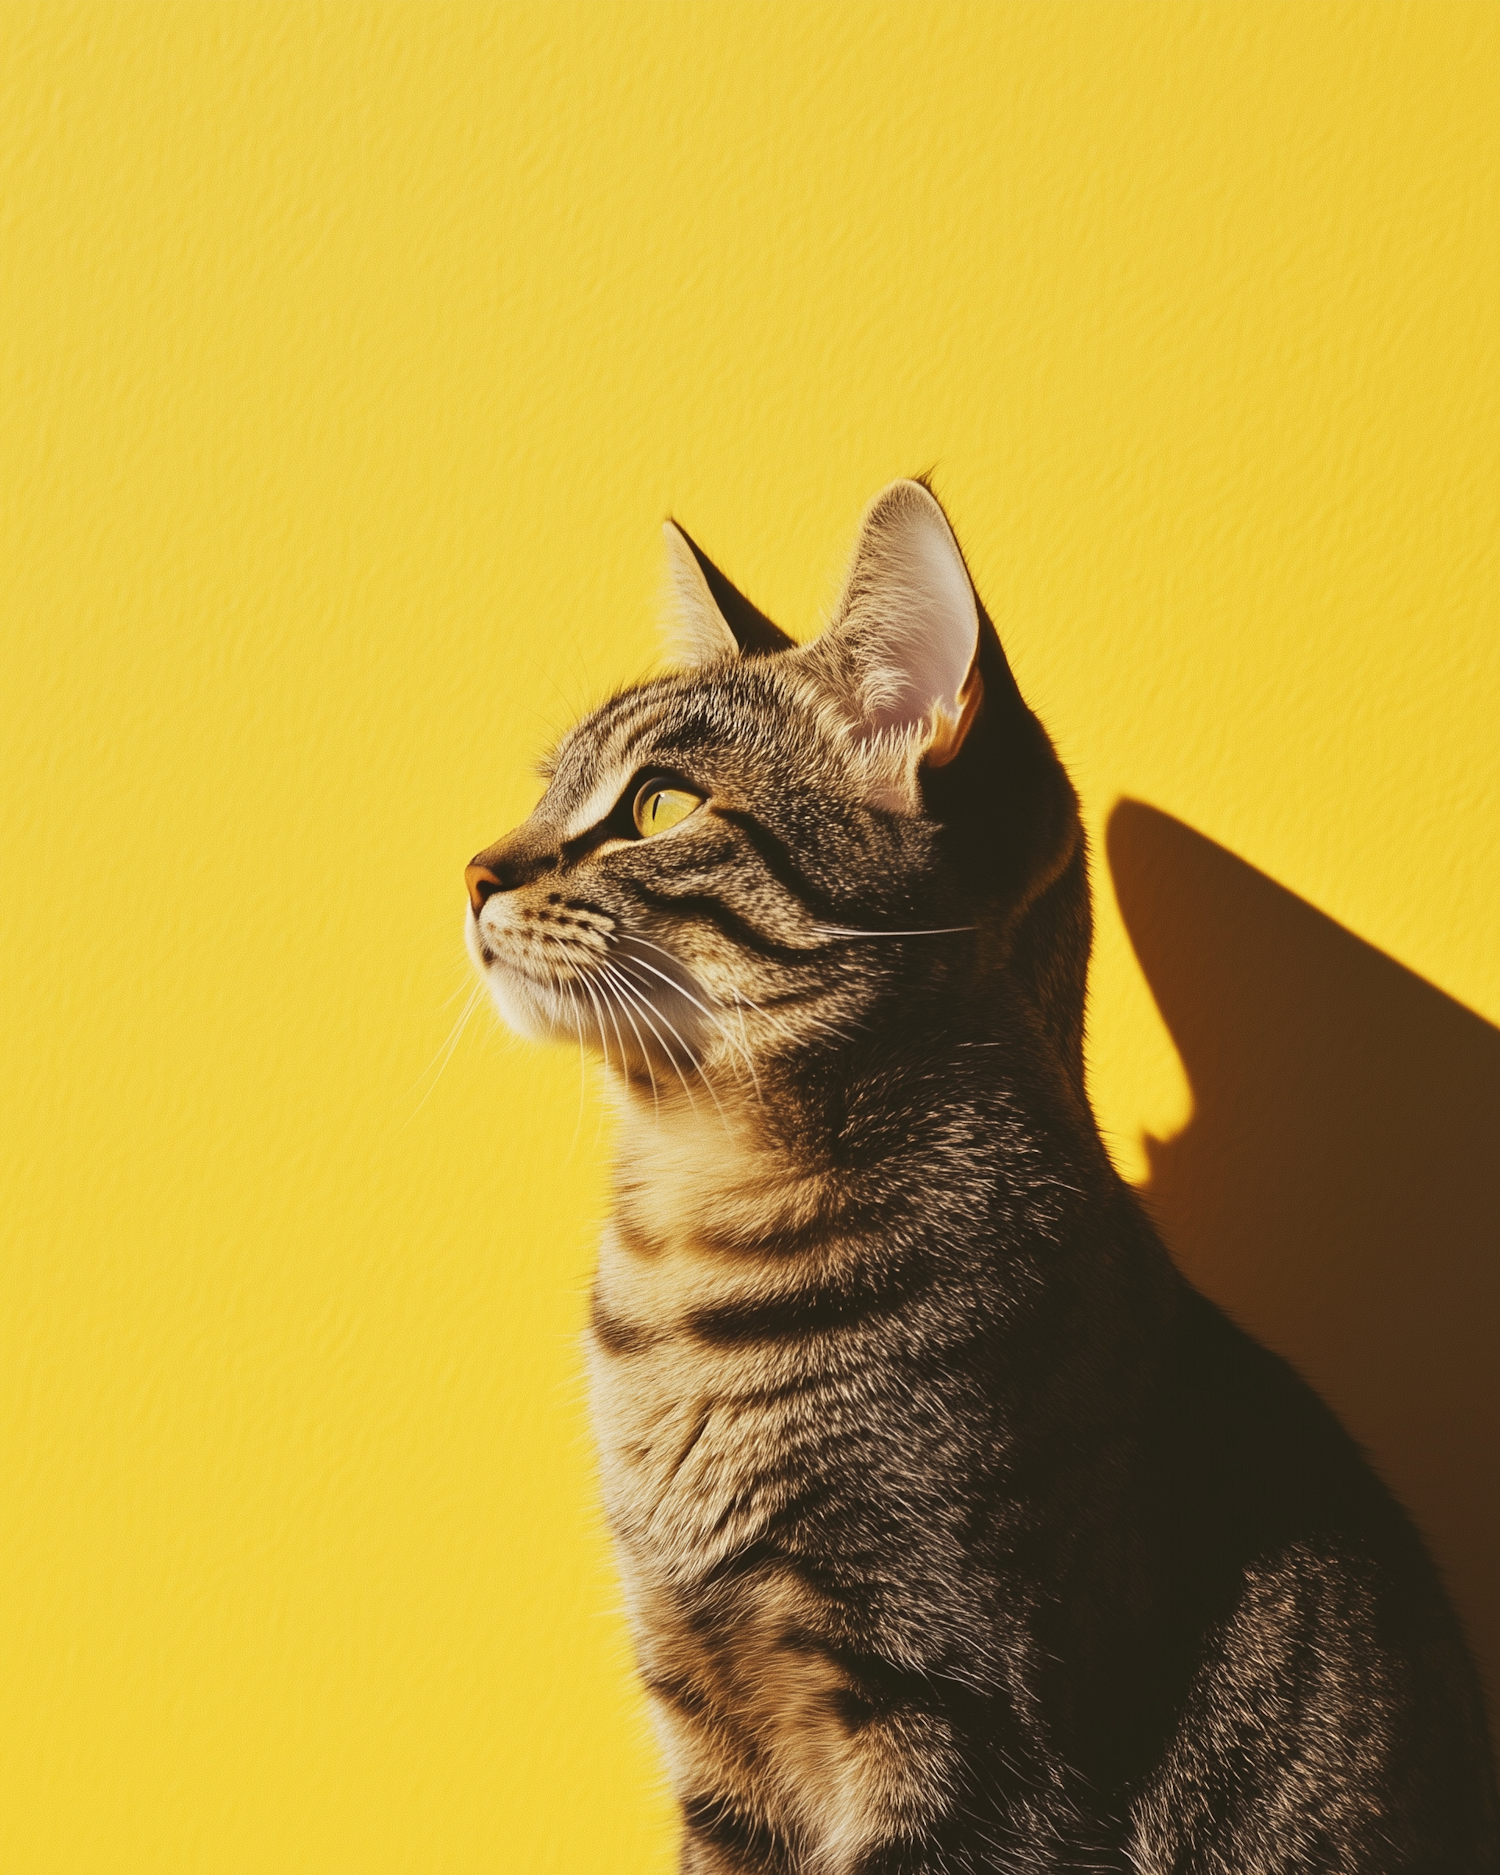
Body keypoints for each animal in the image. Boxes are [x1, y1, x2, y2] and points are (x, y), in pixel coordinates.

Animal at [463, 487, 1492, 1875]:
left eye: (659, 806)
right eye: (548, 792)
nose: (474, 871)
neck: (690, 1244)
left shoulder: (963, 1716)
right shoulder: (705, 1715)